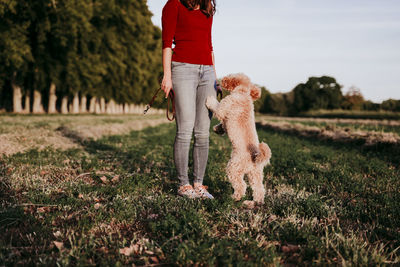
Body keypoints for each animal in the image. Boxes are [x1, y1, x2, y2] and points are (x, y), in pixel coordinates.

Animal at [206, 74, 272, 208]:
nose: (220, 81)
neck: (243, 93)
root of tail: (254, 155)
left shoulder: (225, 106)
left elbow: (217, 107)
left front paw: (210, 100)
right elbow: (222, 125)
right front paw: (217, 129)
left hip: (233, 168)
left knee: (241, 186)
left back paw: (234, 198)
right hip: (255, 174)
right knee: (259, 190)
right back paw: (253, 203)